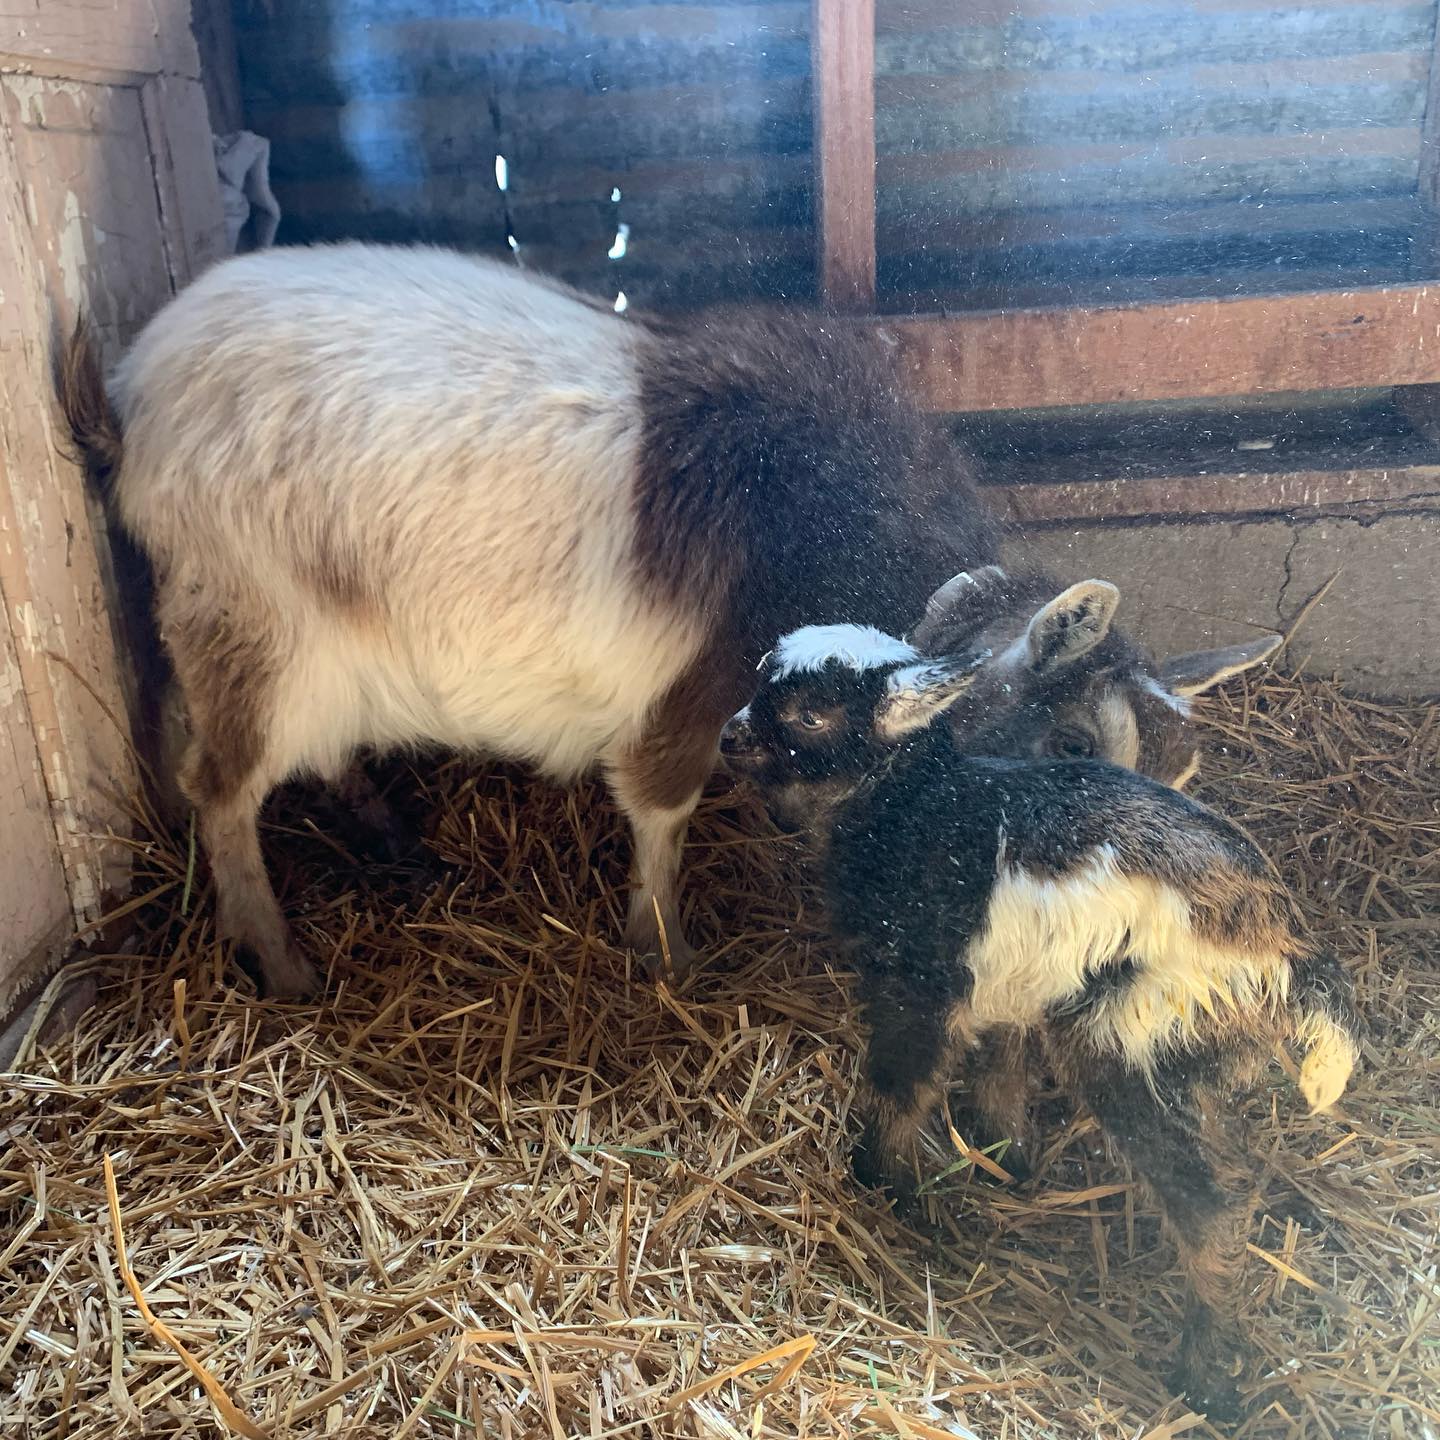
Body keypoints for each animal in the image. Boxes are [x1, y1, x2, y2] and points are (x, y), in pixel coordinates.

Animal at [59, 242, 1007, 996]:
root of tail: (132, 400)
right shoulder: (694, 693)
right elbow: (663, 808)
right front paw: (668, 955)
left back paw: (391, 836)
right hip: (255, 636)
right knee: (218, 789)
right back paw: (283, 964)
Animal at [720, 606, 1360, 1422]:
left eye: (812, 713)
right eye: (762, 677)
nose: (729, 736)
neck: (917, 807)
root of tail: (1285, 950)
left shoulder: (924, 977)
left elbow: (903, 1082)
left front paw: (881, 1182)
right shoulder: (1013, 982)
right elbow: (1002, 1066)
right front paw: (1007, 1156)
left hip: (1130, 1038)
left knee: (1210, 1200)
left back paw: (1207, 1376)